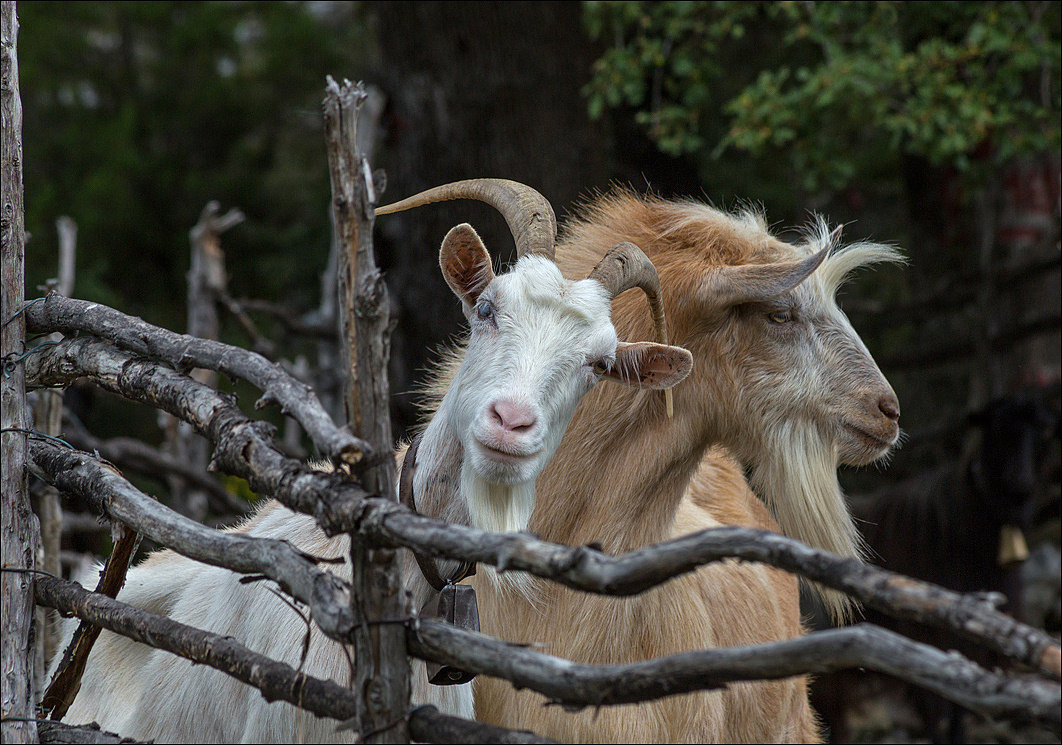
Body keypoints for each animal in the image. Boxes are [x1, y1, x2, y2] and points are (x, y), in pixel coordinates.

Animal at [807, 394, 1057, 742]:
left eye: (1044, 431)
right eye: (997, 429)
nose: (1021, 482)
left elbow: (958, 716)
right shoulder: (924, 641)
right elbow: (938, 720)